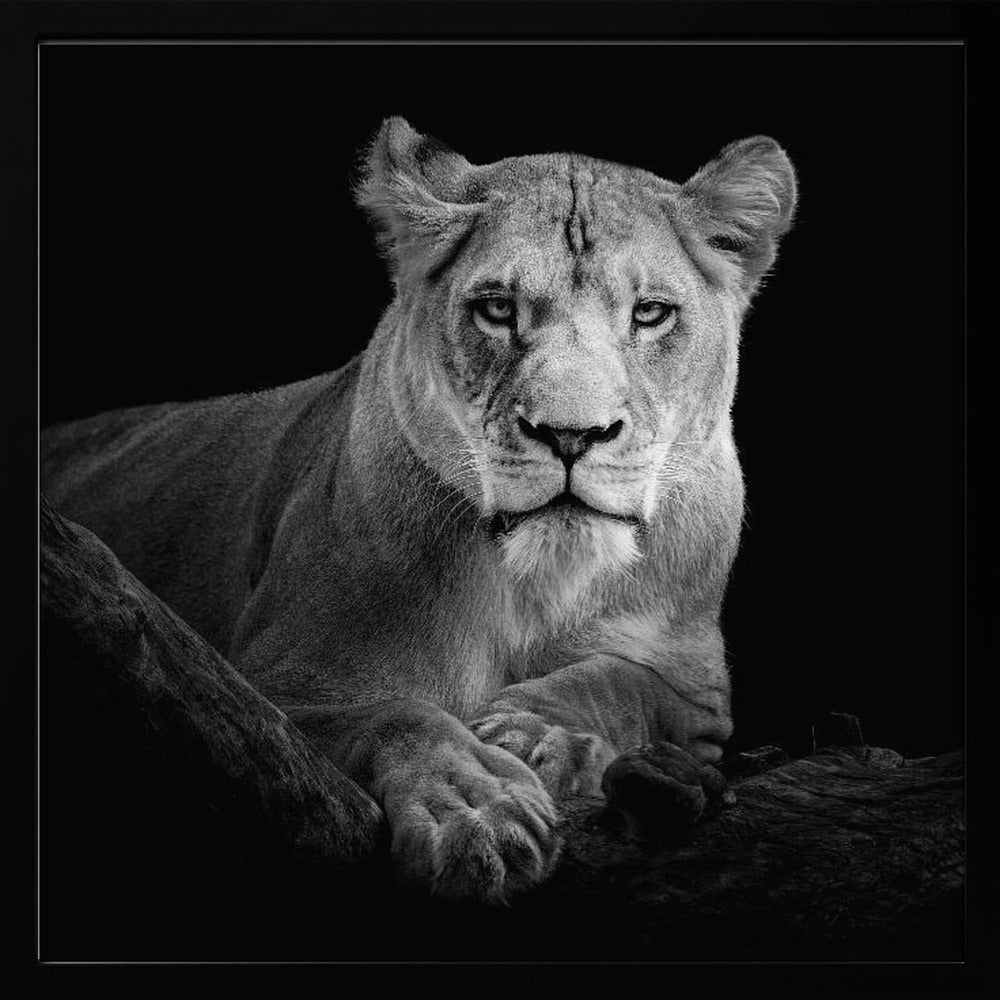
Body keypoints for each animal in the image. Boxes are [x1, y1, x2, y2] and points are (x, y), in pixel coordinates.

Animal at [41, 118, 797, 904]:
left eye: (650, 314)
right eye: (497, 308)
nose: (570, 435)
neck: (536, 584)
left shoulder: (697, 690)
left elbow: (622, 682)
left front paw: (537, 735)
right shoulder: (264, 692)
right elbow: (399, 715)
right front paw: (478, 811)